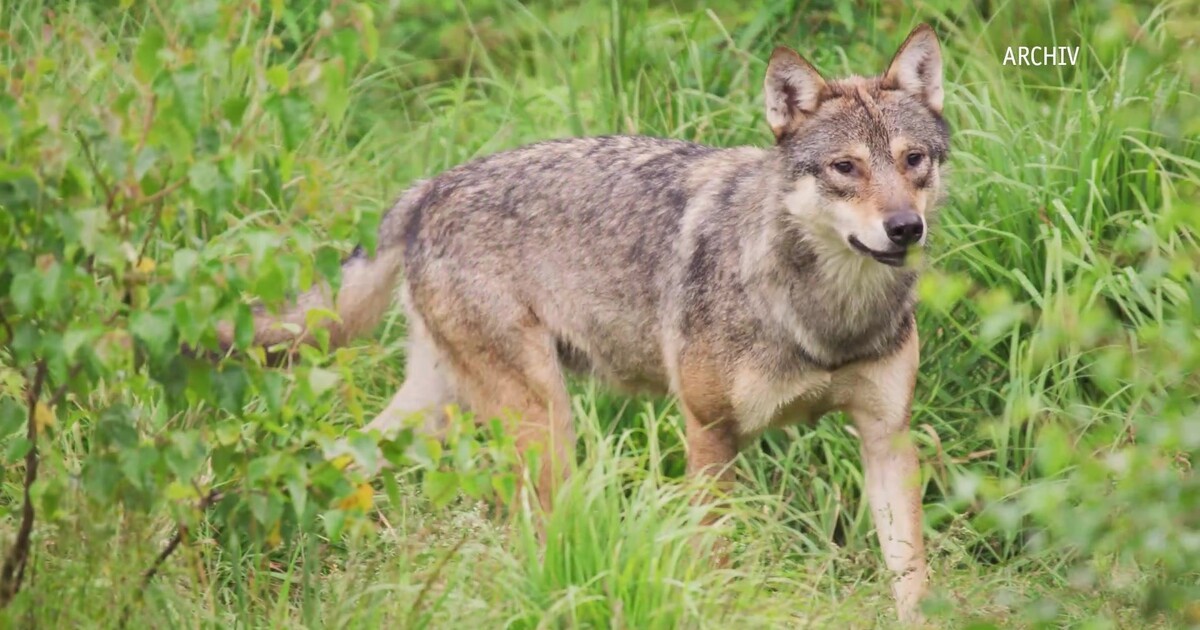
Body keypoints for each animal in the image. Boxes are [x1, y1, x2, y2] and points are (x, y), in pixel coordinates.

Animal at [223, 24, 949, 622]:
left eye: (913, 160)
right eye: (845, 168)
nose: (904, 228)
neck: (826, 318)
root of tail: (430, 186)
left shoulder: (886, 438)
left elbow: (911, 578)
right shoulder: (710, 434)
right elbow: (716, 559)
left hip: (439, 409)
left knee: (331, 461)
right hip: (544, 422)